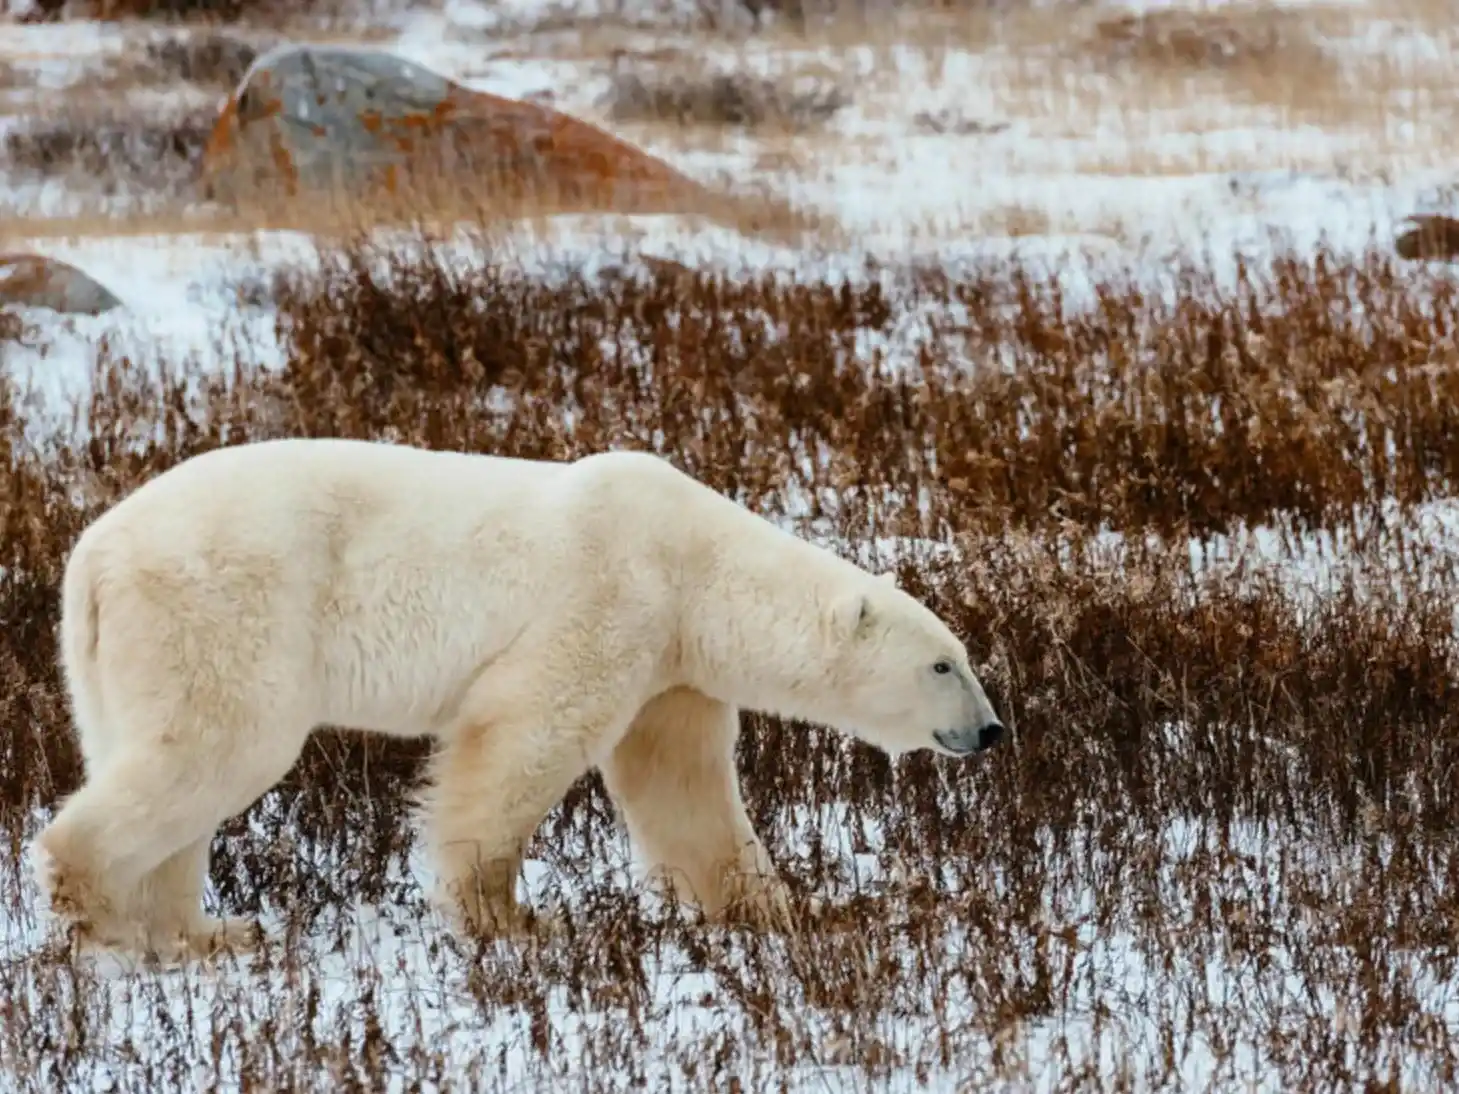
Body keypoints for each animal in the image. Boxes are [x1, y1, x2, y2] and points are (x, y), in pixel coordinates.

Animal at [29, 438, 1006, 963]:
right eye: (943, 665)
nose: (992, 730)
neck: (693, 562)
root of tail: (95, 556)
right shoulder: (610, 593)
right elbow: (522, 736)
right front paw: (509, 915)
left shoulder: (671, 665)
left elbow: (681, 784)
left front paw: (779, 908)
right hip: (223, 606)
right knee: (220, 745)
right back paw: (105, 920)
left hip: (116, 656)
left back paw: (203, 934)